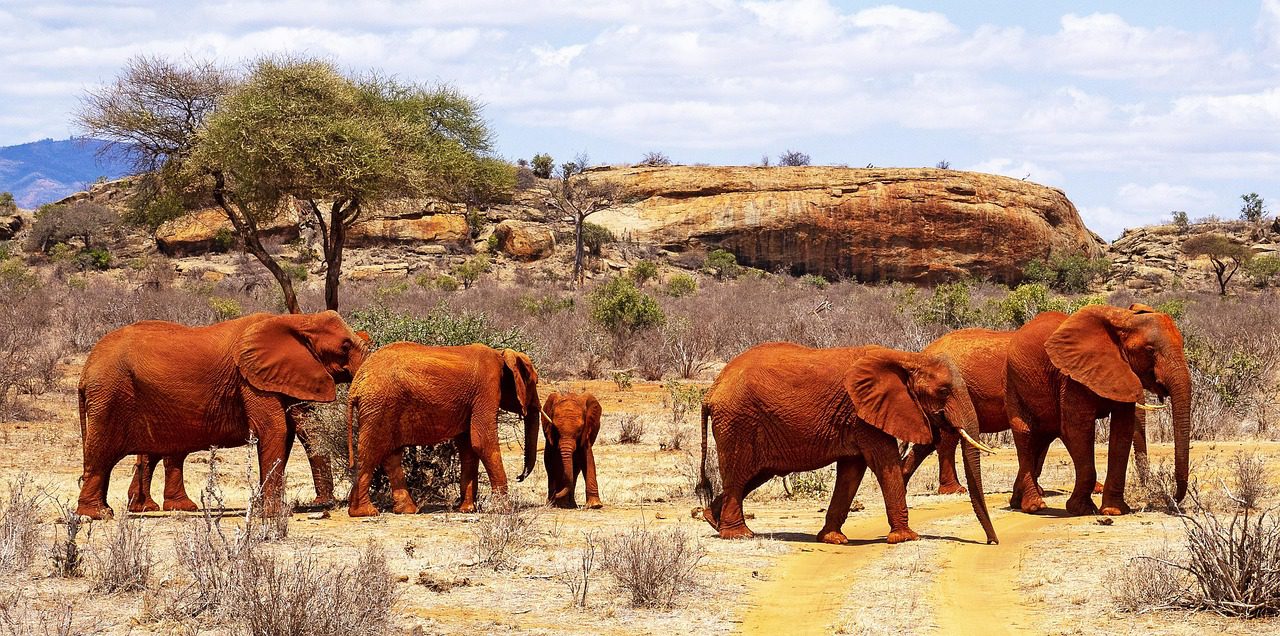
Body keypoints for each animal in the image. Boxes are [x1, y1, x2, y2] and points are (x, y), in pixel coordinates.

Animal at [76, 310, 369, 520]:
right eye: (344, 346)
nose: (324, 504)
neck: (298, 319)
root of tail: (86, 369)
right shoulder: (249, 380)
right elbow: (275, 430)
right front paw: (274, 515)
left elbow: (294, 429)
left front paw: (264, 509)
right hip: (110, 395)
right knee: (102, 453)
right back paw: (98, 515)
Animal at [345, 343, 542, 517]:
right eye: (535, 382)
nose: (519, 476)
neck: (501, 354)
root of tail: (356, 385)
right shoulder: (486, 389)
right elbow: (482, 442)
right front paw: (505, 510)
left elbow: (468, 448)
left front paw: (466, 509)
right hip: (379, 405)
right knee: (371, 452)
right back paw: (365, 512)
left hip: (383, 408)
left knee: (391, 456)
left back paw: (406, 510)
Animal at [695, 342, 999, 545]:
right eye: (944, 391)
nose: (992, 542)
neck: (907, 358)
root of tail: (712, 390)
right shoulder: (862, 412)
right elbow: (884, 463)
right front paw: (907, 538)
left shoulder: (858, 416)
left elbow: (852, 471)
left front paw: (833, 539)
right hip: (738, 421)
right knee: (739, 474)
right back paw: (739, 535)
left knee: (755, 475)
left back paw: (712, 520)